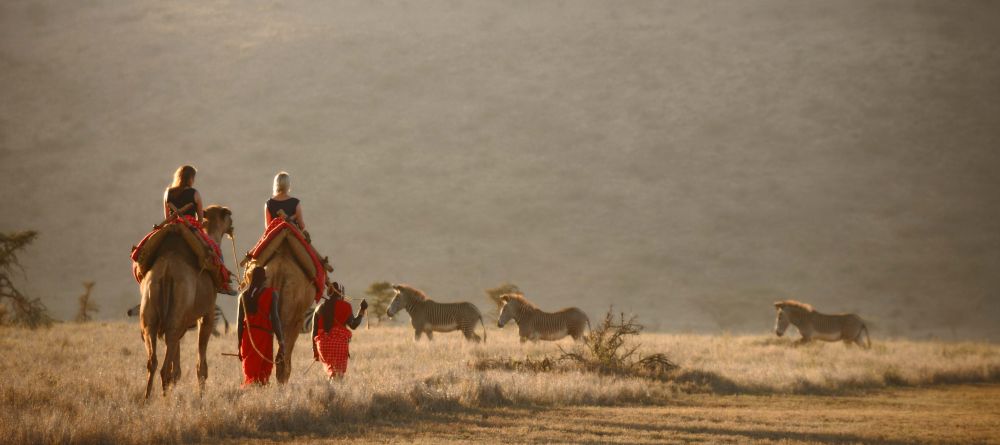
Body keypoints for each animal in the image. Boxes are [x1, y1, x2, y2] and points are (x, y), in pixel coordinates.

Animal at [138, 206, 233, 398]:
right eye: (228, 216)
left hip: (151, 313)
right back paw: (165, 400)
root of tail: (167, 272)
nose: (232, 224)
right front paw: (201, 394)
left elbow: (177, 365)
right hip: (179, 311)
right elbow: (201, 363)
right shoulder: (207, 314)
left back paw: (147, 398)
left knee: (153, 360)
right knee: (164, 367)